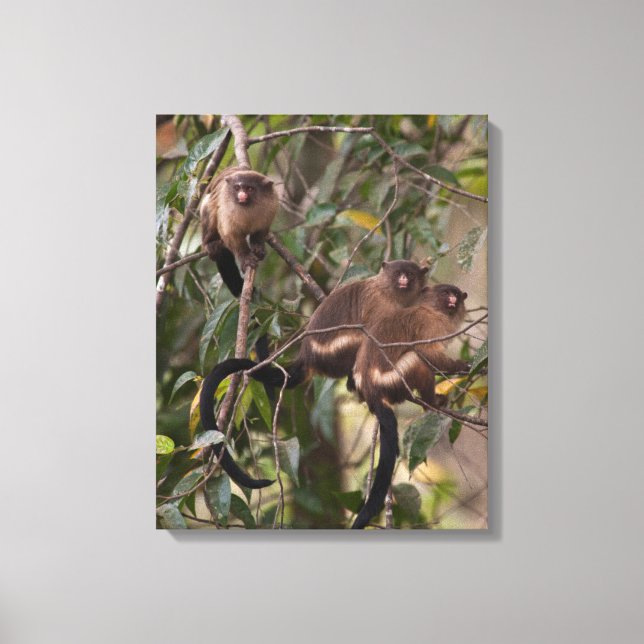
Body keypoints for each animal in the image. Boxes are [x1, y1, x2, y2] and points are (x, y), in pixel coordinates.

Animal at [200, 167, 279, 295]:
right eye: (237, 188)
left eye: (250, 189)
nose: (241, 195)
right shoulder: (226, 209)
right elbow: (230, 234)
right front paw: (246, 258)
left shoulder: (272, 205)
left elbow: (262, 230)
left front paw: (258, 247)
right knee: (208, 206)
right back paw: (210, 243)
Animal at [350, 284, 469, 529]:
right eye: (446, 293)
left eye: (456, 294)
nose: (453, 299)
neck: (433, 309)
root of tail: (371, 388)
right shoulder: (430, 324)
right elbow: (428, 353)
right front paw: (460, 366)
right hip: (395, 379)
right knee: (417, 358)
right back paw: (431, 403)